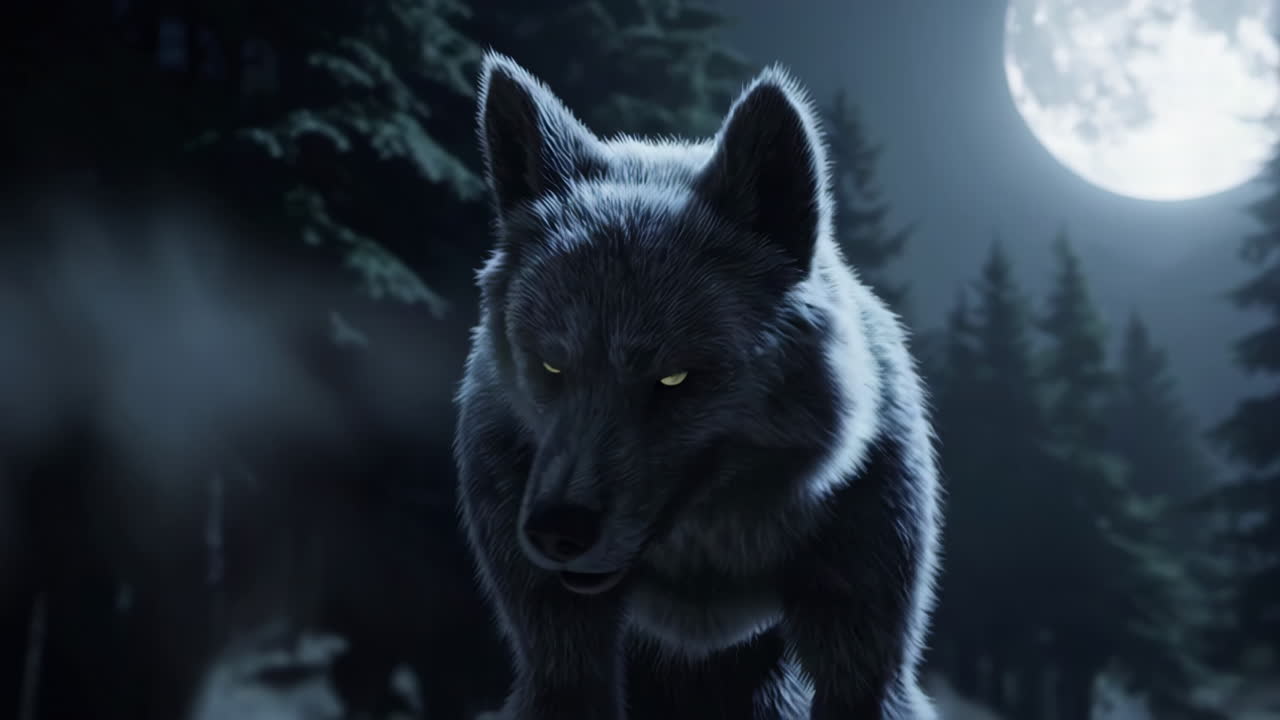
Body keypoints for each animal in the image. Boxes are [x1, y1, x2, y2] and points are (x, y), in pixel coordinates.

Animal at [453, 52, 943, 720]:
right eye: (552, 367)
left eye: (673, 377)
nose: (557, 530)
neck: (701, 582)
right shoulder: (560, 665)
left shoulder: (867, 667)